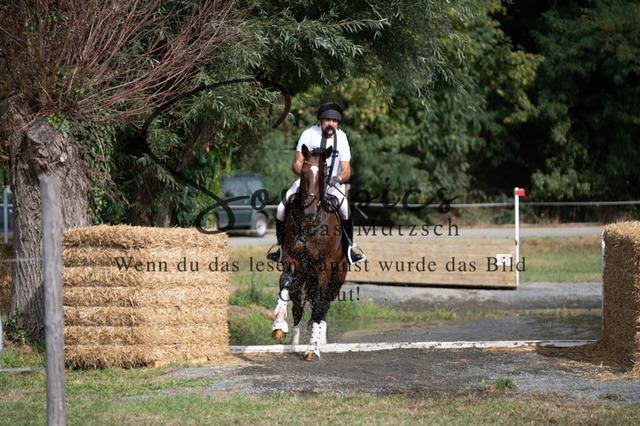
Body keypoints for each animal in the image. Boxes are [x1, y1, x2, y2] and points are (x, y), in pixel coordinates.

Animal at [271, 144, 349, 360]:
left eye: (324, 175)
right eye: (303, 173)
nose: (309, 212)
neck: (309, 225)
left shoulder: (325, 267)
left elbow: (319, 304)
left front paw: (313, 346)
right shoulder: (292, 260)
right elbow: (285, 283)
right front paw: (279, 324)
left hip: (337, 276)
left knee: (323, 305)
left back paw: (320, 339)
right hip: (304, 275)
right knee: (299, 304)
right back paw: (295, 339)